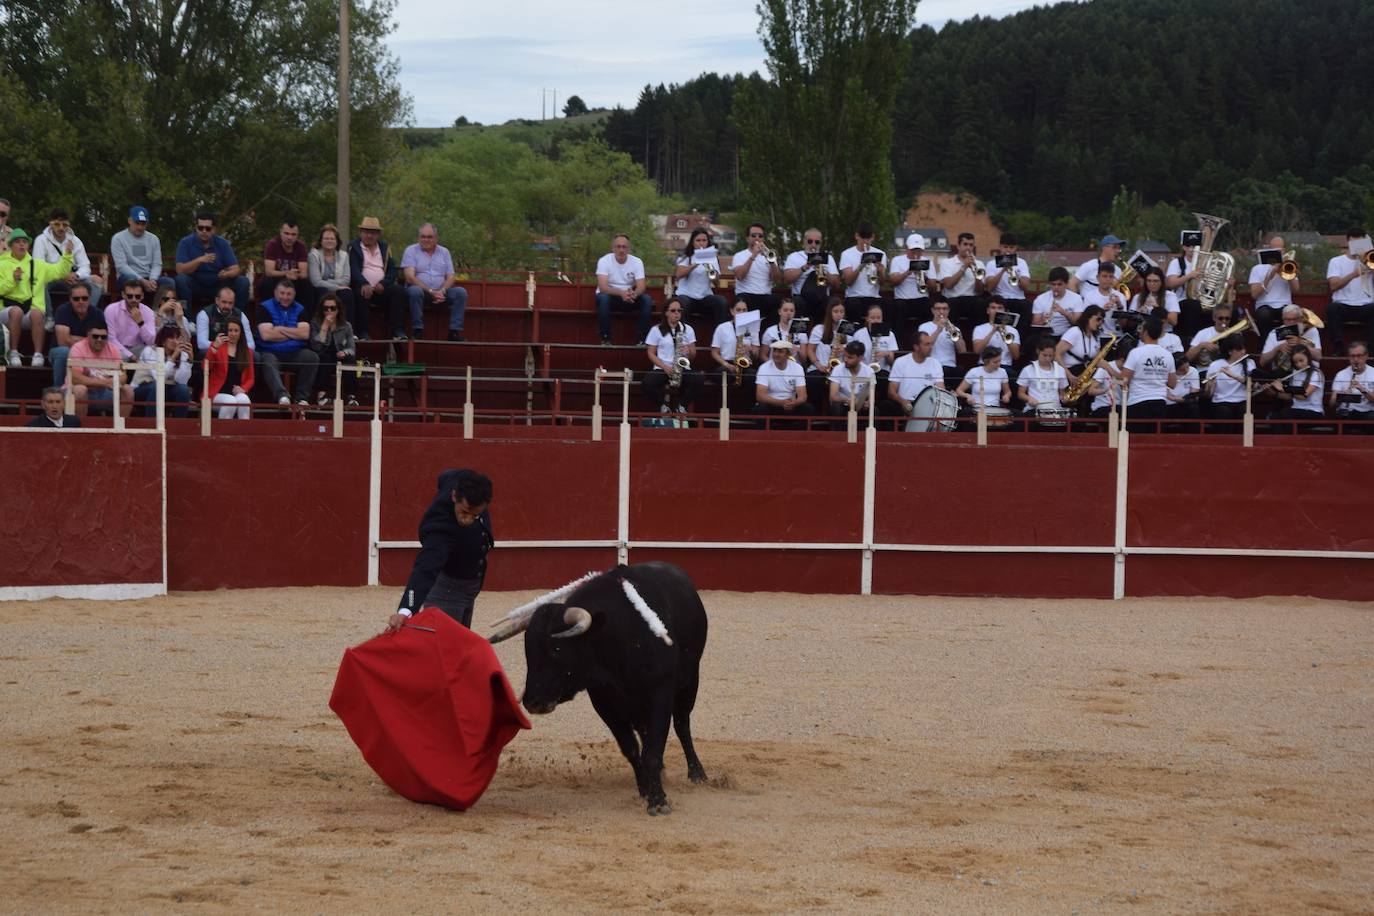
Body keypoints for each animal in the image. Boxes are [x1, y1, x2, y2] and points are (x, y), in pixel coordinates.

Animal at [491, 565, 708, 818]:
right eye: (528, 651)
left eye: (556, 649)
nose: (532, 702)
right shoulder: (605, 703)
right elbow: (631, 748)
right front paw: (645, 789)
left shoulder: (659, 693)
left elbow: (653, 751)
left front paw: (658, 800)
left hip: (690, 680)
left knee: (682, 725)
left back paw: (697, 773)